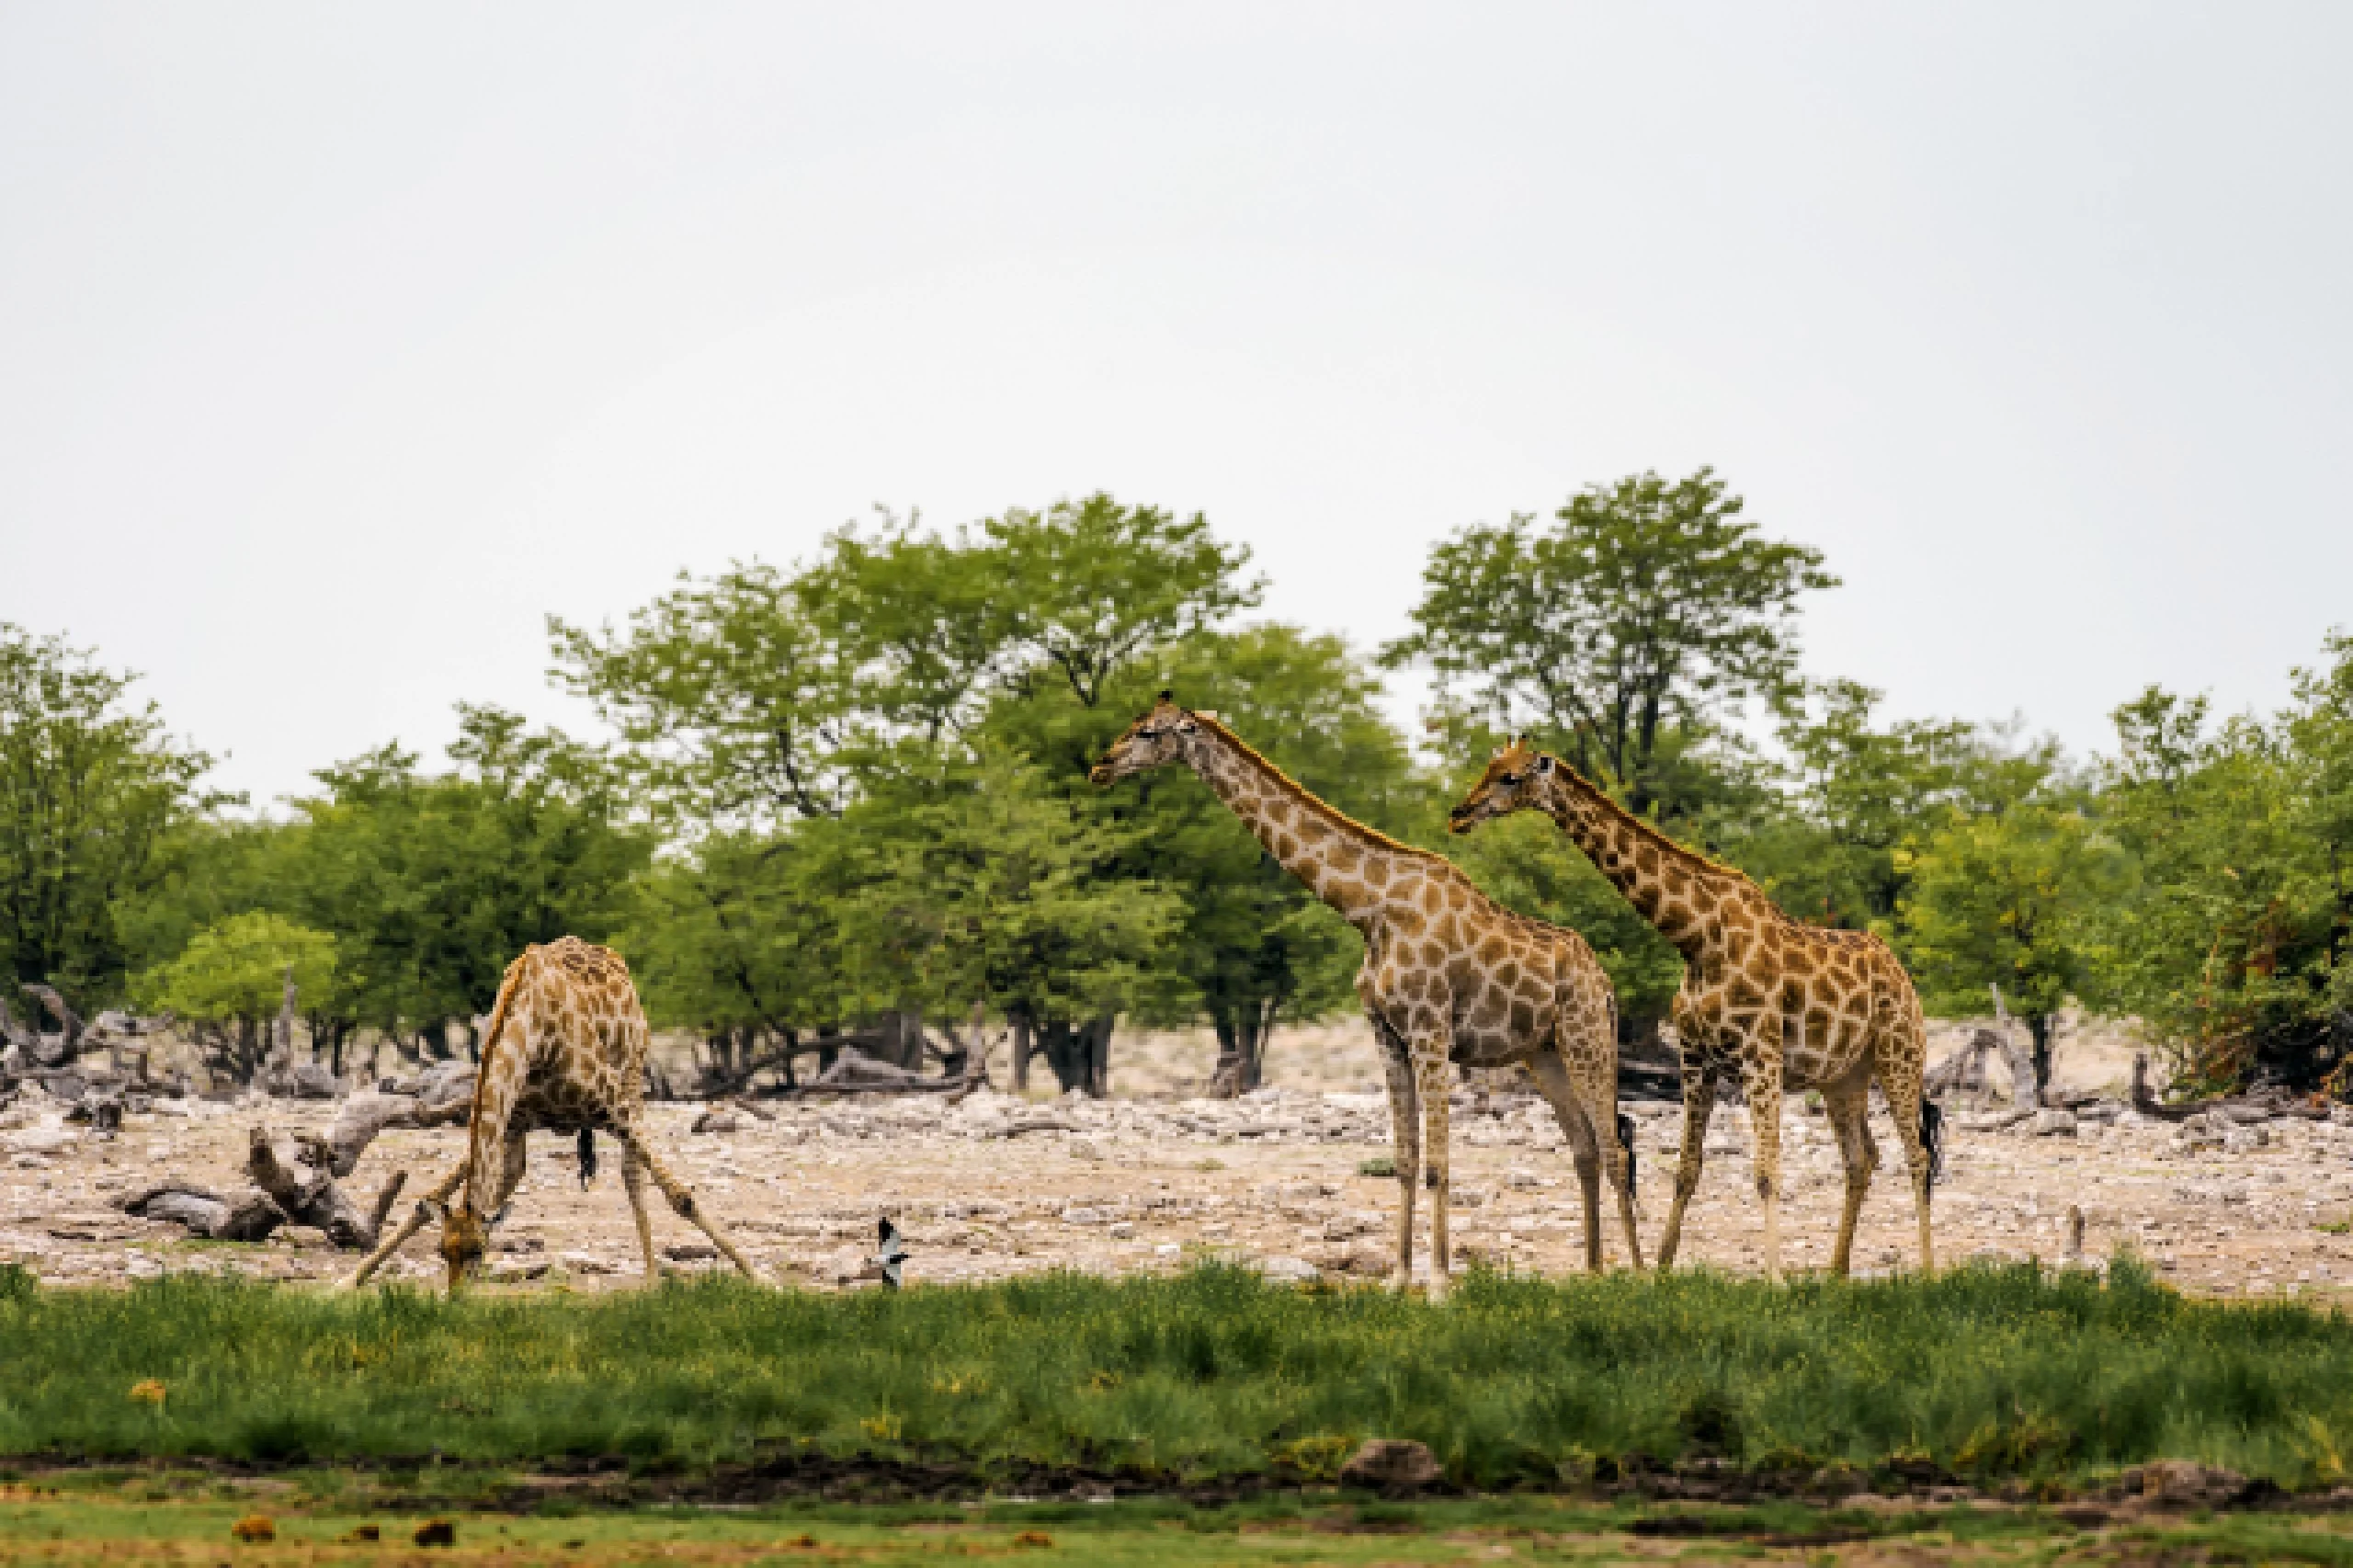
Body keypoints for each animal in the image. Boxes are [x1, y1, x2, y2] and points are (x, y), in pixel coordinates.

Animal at [341, 932, 757, 1290]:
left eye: (477, 1251)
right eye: (442, 1252)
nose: (455, 1299)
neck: (535, 1032)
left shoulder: (613, 1103)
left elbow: (681, 1196)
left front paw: (759, 1278)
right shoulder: (512, 1120)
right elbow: (454, 1195)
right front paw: (348, 1280)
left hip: (633, 1076)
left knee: (633, 1172)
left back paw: (654, 1278)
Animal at [1096, 687, 1637, 1290]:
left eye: (1149, 731)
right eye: (1134, 723)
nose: (1101, 766)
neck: (1370, 909)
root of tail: (1604, 982)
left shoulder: (1429, 1030)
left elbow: (1438, 1163)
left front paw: (1439, 1284)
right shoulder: (1387, 1034)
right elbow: (1404, 1160)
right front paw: (1399, 1279)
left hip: (1587, 1038)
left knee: (1614, 1147)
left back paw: (1641, 1275)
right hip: (1542, 1054)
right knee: (1585, 1146)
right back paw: (1592, 1274)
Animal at [1449, 739, 1929, 1280]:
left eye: (1509, 777)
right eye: (1490, 767)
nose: (1459, 814)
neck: (1696, 938)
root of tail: (1902, 974)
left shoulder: (1760, 1056)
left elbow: (1766, 1171)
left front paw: (1775, 1280)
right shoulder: (1696, 1058)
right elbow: (1686, 1169)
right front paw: (1660, 1272)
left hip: (1899, 1053)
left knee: (1916, 1155)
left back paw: (1929, 1271)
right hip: (1843, 1075)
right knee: (1862, 1158)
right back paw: (1836, 1273)